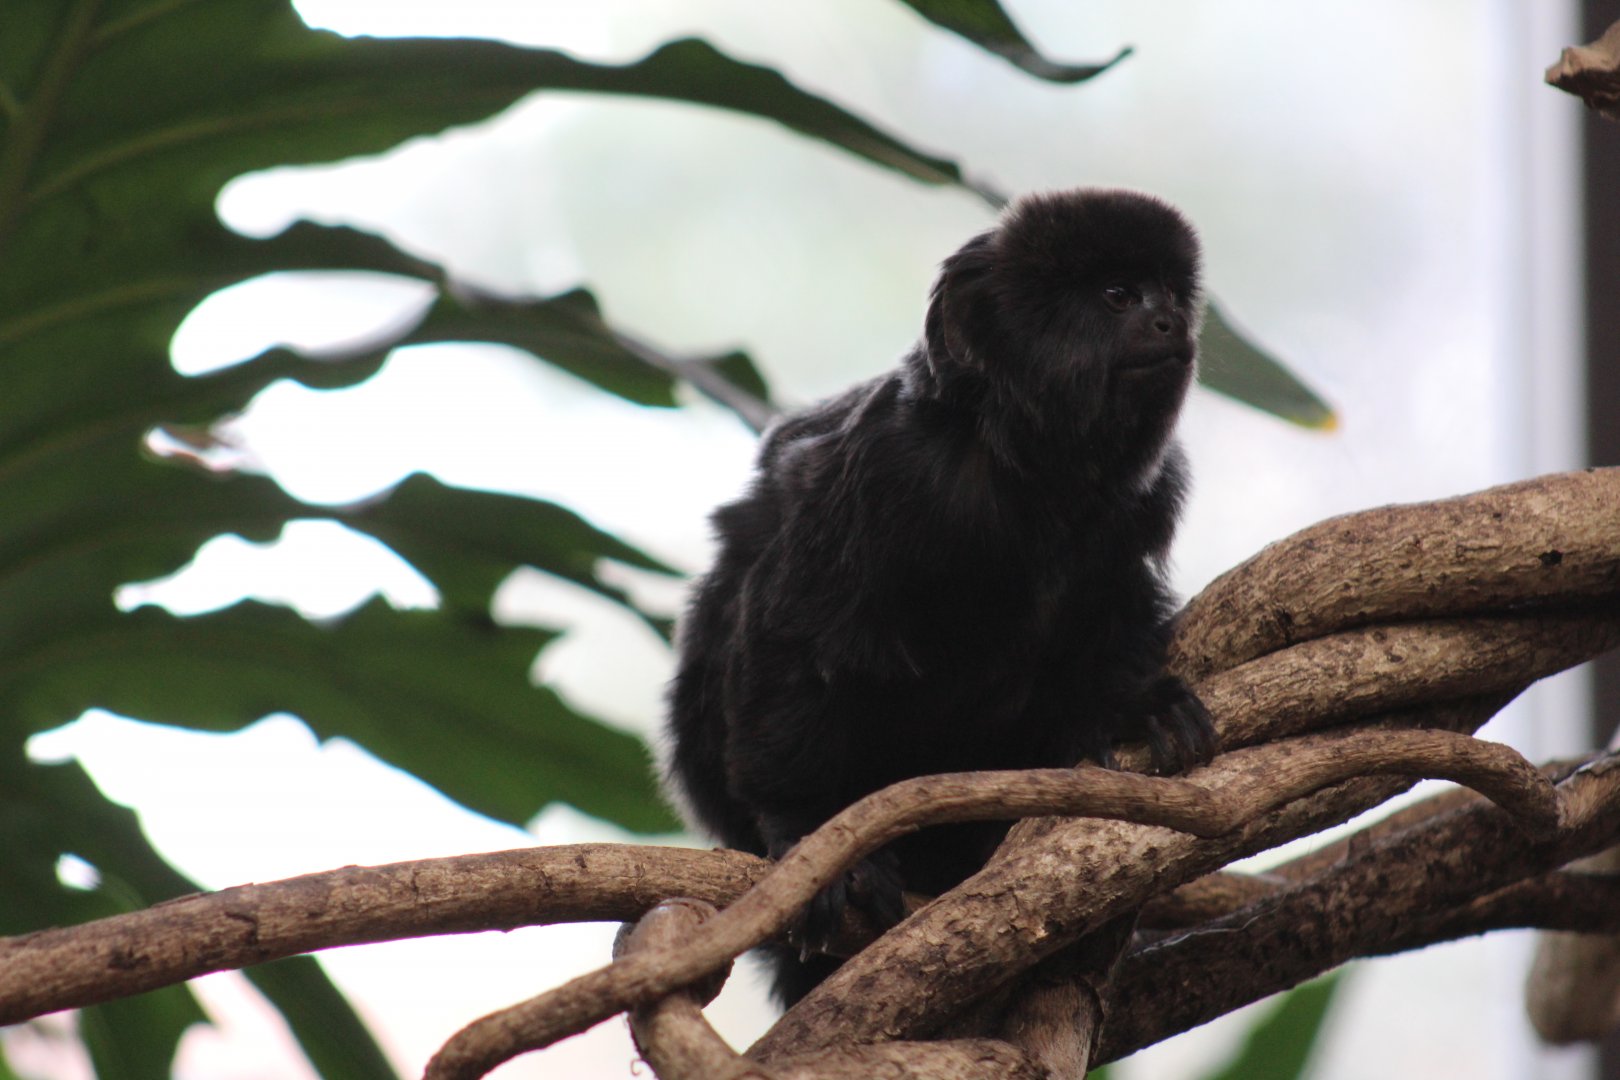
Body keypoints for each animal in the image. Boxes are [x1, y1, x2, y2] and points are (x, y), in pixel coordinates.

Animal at [663, 188, 1217, 1006]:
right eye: (1119, 296)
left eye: (1172, 296)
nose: (1169, 324)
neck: (1025, 473)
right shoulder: (890, 466)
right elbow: (795, 634)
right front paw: (804, 829)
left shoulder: (1146, 496)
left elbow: (1119, 614)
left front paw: (1133, 703)